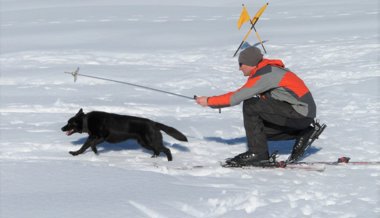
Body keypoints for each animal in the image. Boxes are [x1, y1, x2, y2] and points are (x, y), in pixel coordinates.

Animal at [60, 108, 189, 161]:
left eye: (69, 123)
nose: (61, 128)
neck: (87, 121)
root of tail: (154, 123)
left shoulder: (101, 137)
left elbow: (90, 145)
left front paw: (95, 153)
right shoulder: (92, 137)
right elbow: (84, 146)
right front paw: (76, 153)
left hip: (149, 142)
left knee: (166, 150)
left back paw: (170, 161)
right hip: (144, 143)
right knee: (157, 151)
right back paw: (153, 159)